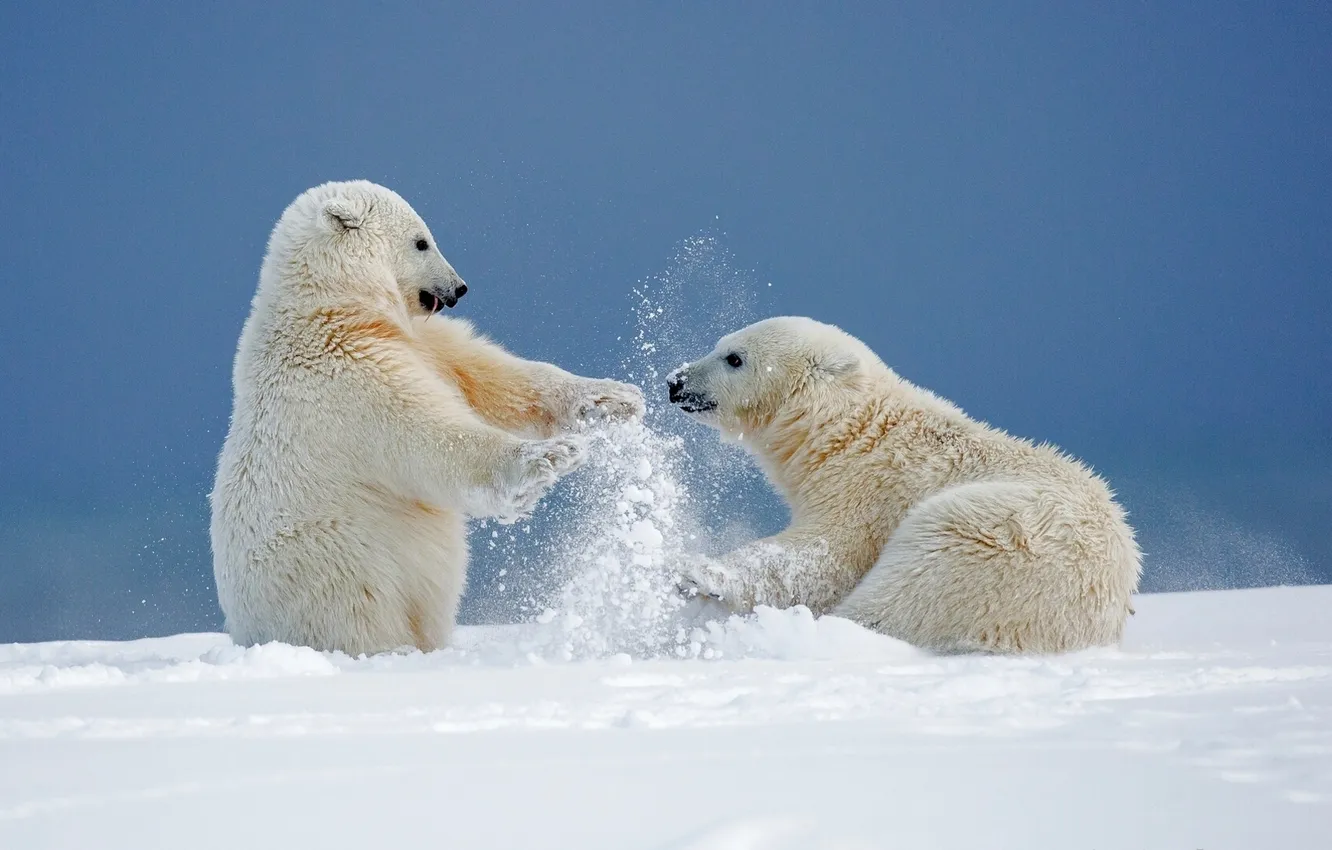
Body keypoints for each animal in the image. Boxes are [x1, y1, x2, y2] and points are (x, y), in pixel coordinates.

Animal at [210, 180, 644, 656]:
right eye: (421, 241)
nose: (460, 287)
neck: (329, 309)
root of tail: (244, 631)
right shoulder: (345, 377)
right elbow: (427, 434)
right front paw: (548, 460)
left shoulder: (425, 339)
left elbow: (493, 375)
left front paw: (613, 399)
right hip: (329, 555)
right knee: (359, 605)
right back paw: (393, 648)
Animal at [666, 316, 1141, 655]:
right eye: (720, 345)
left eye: (734, 357)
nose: (675, 382)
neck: (848, 430)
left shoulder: (866, 487)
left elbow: (824, 553)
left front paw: (698, 573)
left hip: (1000, 537)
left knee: (912, 587)